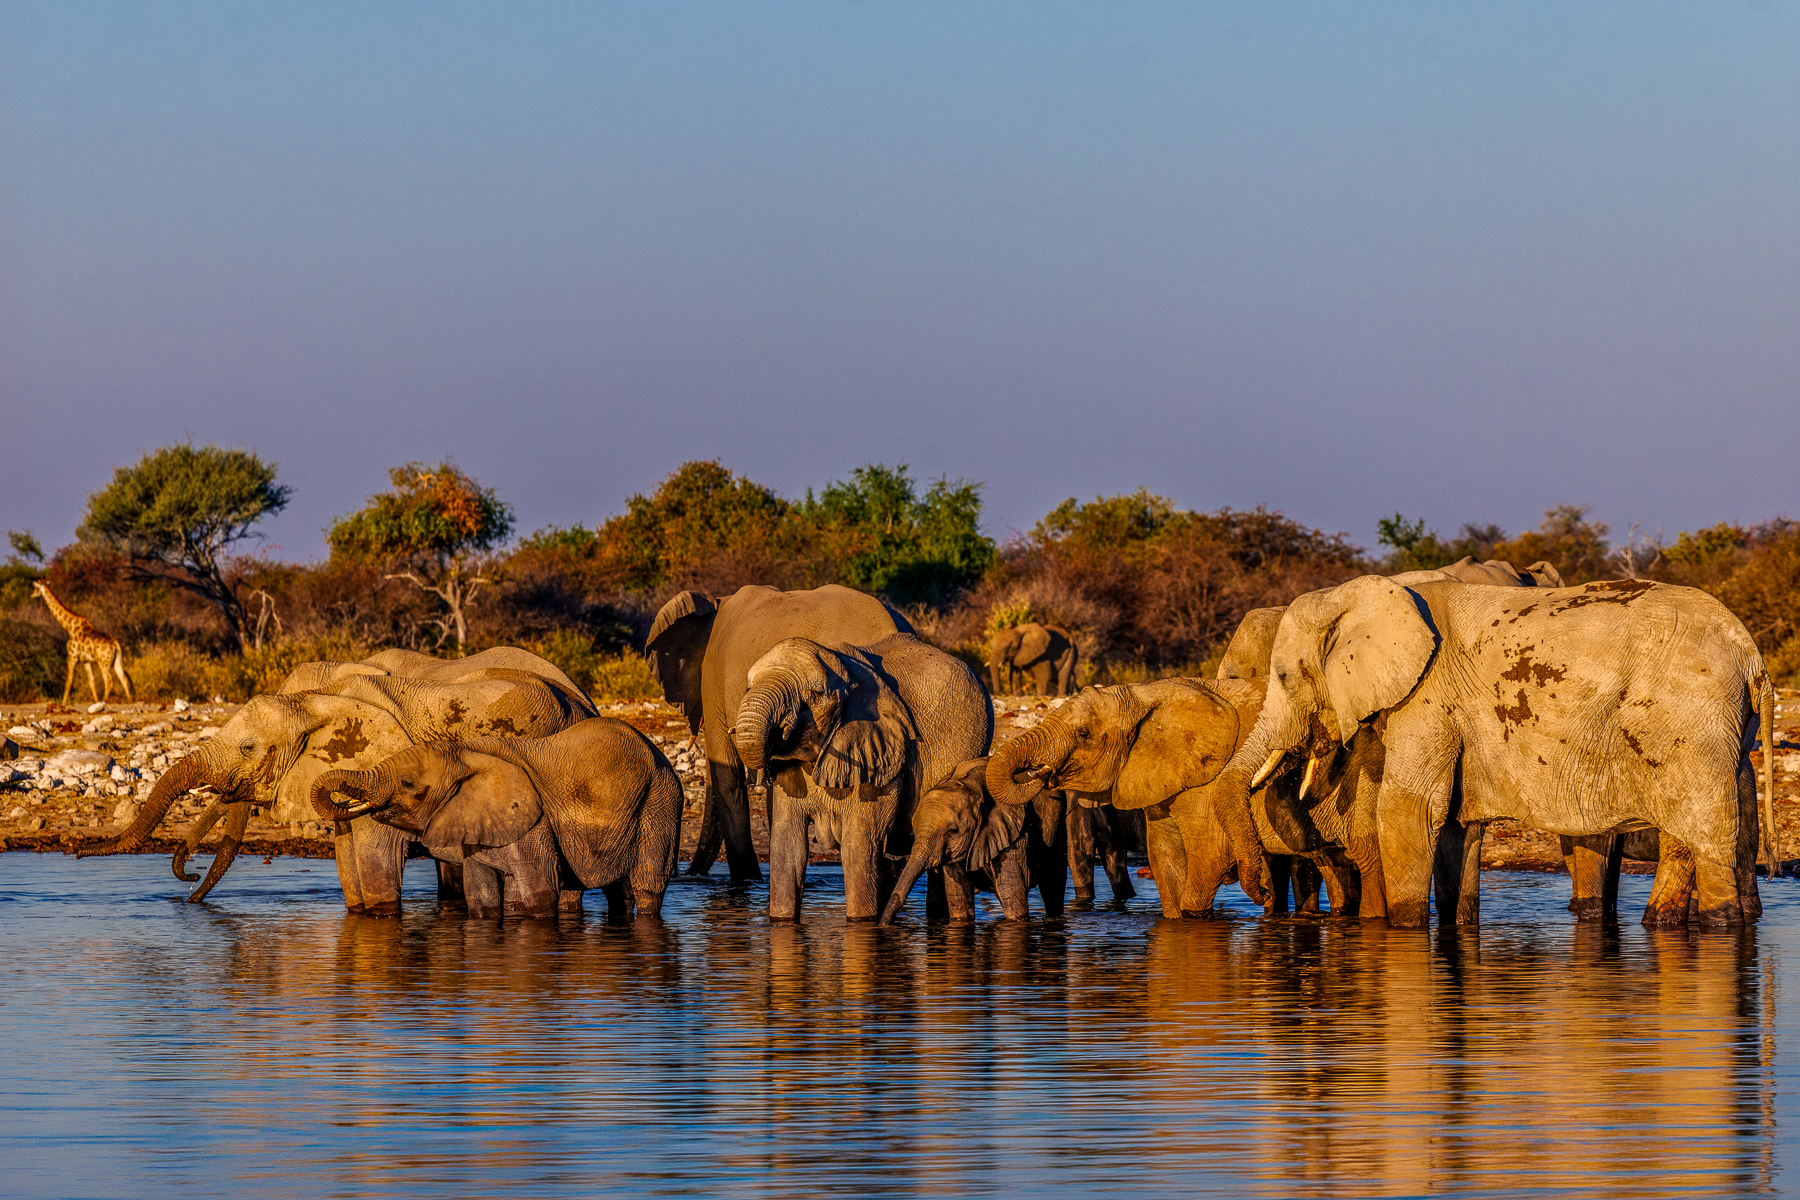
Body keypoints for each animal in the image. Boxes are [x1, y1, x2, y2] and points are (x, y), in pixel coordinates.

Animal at [309, 718, 682, 919]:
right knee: (620, 892)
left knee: (647, 884)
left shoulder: (534, 820)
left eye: (408, 784)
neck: (467, 753)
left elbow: (541, 892)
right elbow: (482, 897)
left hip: (661, 802)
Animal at [733, 633, 992, 921]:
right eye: (748, 687)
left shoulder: (878, 758)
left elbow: (858, 846)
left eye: (816, 694)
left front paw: (861, 923)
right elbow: (788, 847)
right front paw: (782, 922)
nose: (763, 776)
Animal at [879, 757, 1069, 923]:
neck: (968, 785)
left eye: (953, 832)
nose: (883, 924)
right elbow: (959, 902)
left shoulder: (1014, 832)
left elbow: (1012, 898)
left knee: (1052, 884)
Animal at [1224, 575, 1778, 928]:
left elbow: (1410, 809)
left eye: (1282, 676)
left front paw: (1403, 932)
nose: (1260, 896)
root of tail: (1752, 656)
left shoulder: (1427, 698)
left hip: (1690, 720)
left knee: (1702, 831)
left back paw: (1718, 924)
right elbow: (1454, 826)